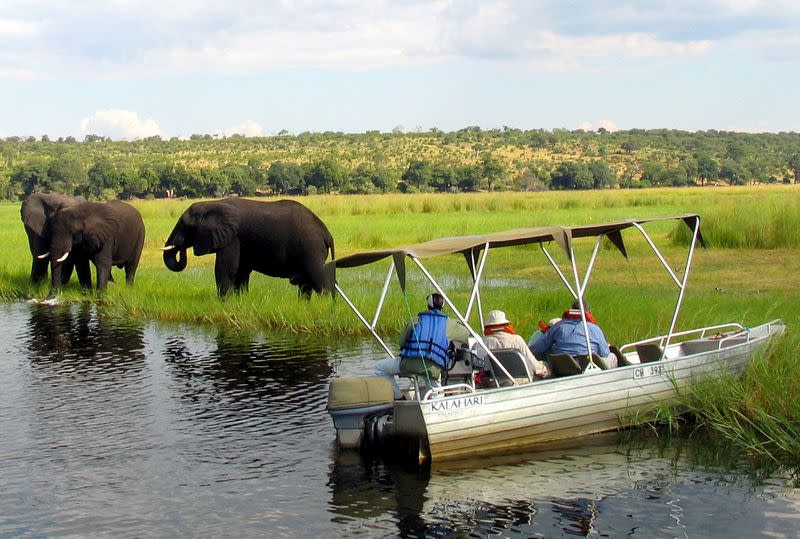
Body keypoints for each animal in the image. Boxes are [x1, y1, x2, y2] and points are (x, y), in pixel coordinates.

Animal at [161, 198, 336, 300]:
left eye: (184, 226)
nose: (180, 245)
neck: (211, 203)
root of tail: (327, 233)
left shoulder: (233, 238)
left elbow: (225, 269)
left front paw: (224, 303)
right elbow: (241, 271)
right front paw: (240, 301)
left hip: (312, 249)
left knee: (318, 279)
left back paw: (324, 306)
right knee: (305, 284)